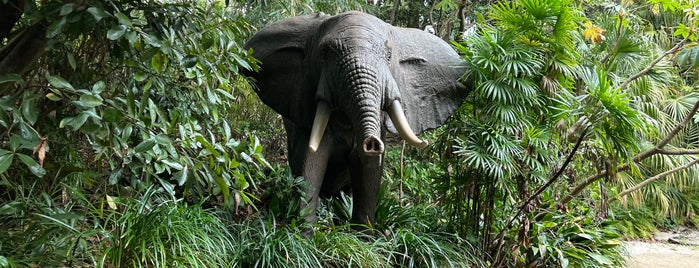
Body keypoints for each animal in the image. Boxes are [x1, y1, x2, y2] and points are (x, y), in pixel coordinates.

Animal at [245, 11, 470, 228]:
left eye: (389, 55)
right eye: (325, 53)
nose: (372, 143)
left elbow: (368, 171)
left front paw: (364, 235)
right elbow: (312, 161)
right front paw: (303, 232)